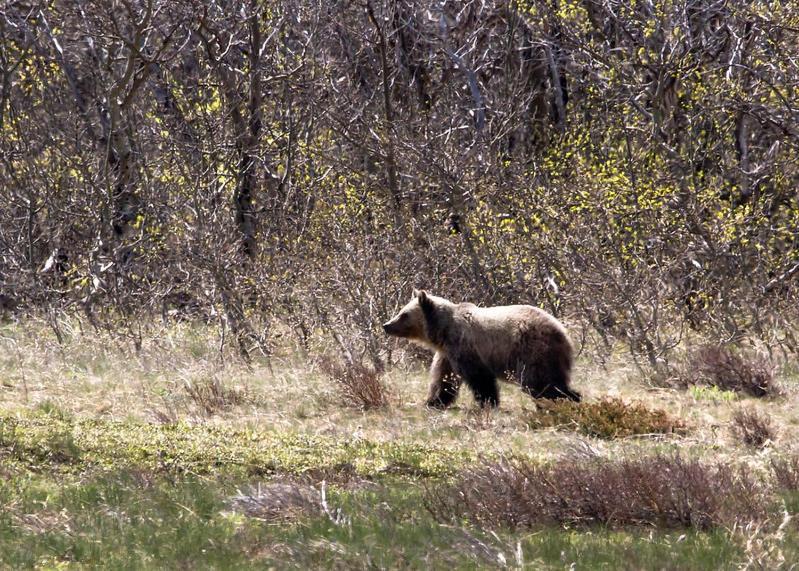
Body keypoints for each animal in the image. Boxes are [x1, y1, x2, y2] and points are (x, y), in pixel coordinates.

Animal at [382, 290, 580, 406]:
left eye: (403, 314)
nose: (386, 325)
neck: (442, 332)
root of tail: (562, 332)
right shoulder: (447, 353)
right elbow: (443, 378)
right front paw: (434, 401)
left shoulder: (465, 346)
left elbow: (479, 378)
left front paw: (488, 402)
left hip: (532, 351)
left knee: (540, 383)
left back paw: (565, 400)